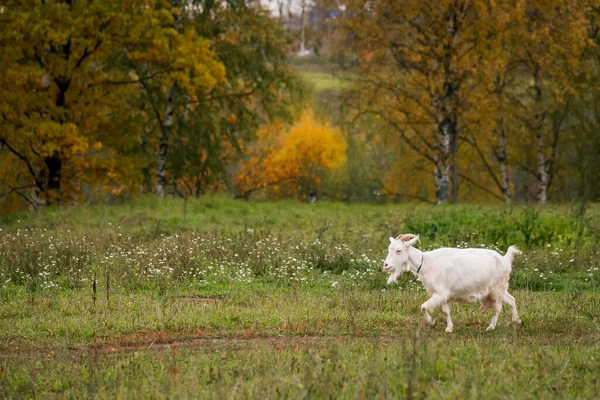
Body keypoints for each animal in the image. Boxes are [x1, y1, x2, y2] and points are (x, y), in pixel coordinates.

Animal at [384, 233, 520, 332]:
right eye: (389, 249)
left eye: (399, 250)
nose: (385, 265)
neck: (426, 263)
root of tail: (505, 259)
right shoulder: (443, 295)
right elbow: (446, 311)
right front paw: (449, 328)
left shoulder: (440, 293)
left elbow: (423, 307)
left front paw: (431, 322)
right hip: (499, 289)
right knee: (511, 299)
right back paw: (517, 320)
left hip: (497, 289)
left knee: (498, 308)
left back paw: (491, 327)